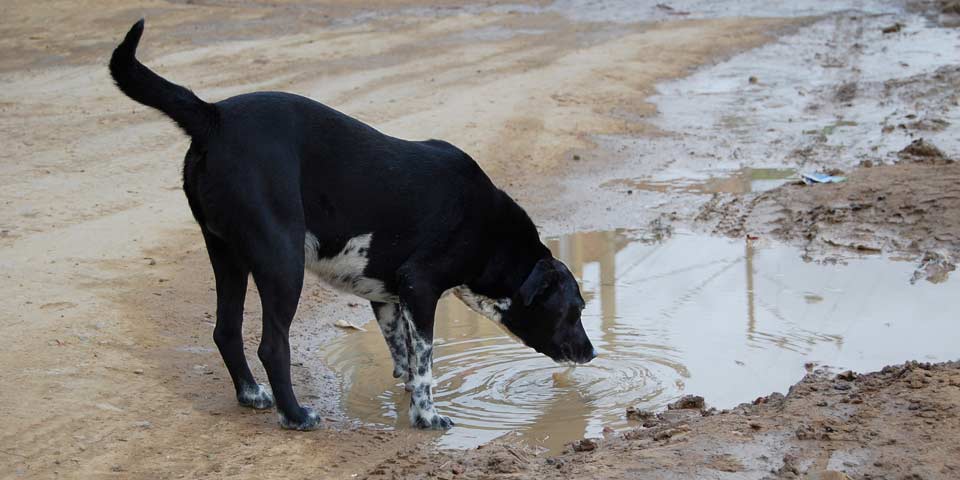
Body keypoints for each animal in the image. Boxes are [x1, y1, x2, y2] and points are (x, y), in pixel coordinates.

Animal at [109, 19, 596, 432]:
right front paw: (427, 417)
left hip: (226, 253)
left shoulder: (388, 297)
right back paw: (295, 415)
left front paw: (407, 399)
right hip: (282, 261)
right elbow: (425, 365)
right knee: (271, 345)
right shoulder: (420, 287)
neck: (489, 230)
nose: (592, 353)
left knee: (226, 330)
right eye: (575, 309)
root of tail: (213, 116)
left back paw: (251, 394)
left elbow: (404, 357)